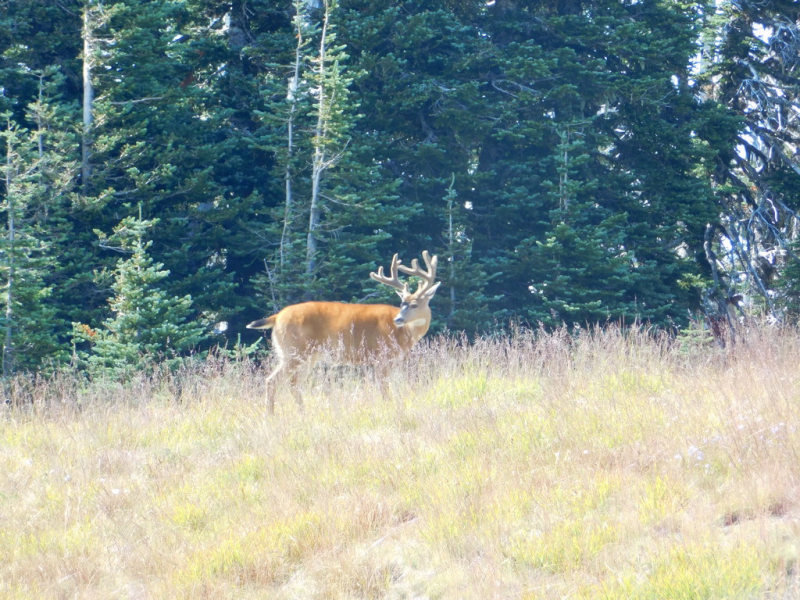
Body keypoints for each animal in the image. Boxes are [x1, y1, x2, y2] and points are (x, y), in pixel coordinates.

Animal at [247, 252, 440, 412]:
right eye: (402, 303)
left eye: (414, 304)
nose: (398, 319)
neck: (405, 333)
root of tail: (277, 316)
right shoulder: (381, 356)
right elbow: (384, 389)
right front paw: (389, 408)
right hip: (294, 351)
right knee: (272, 381)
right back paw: (270, 415)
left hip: (306, 355)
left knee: (294, 384)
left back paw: (303, 413)